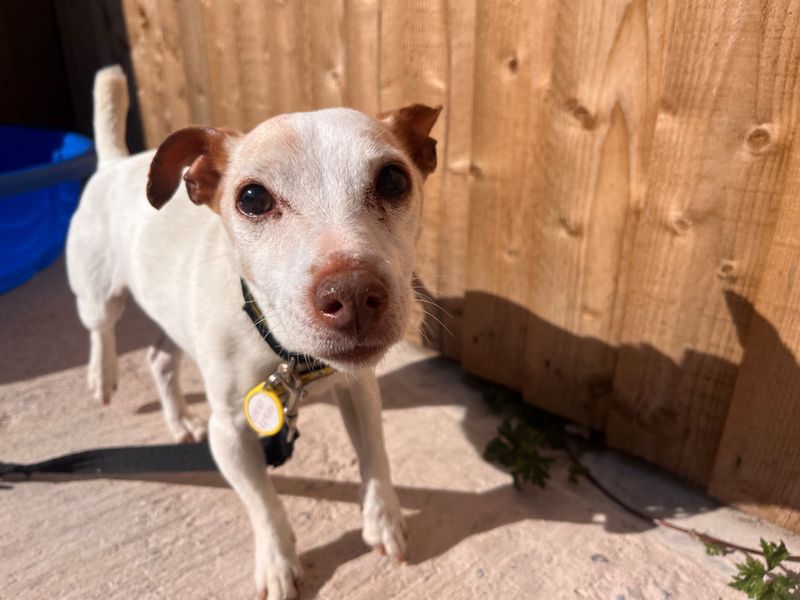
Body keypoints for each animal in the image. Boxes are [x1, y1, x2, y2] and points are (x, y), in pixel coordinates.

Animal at [67, 67, 444, 600]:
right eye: (252, 198)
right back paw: (102, 377)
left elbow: (376, 457)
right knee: (102, 331)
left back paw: (179, 420)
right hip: (99, 297)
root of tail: (115, 162)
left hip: (174, 320)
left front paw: (384, 521)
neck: (288, 357)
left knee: (159, 359)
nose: (353, 295)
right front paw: (279, 562)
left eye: (393, 179)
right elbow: (264, 502)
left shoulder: (359, 391)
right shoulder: (230, 433)